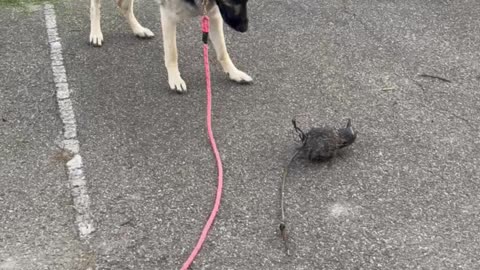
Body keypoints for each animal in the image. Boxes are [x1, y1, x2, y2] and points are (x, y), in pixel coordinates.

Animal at [89, 0, 251, 92]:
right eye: (231, 2)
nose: (245, 28)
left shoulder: (213, 15)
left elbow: (222, 51)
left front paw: (234, 73)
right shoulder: (168, 17)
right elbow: (172, 53)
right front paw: (175, 79)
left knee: (123, 6)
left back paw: (138, 29)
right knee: (95, 6)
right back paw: (96, 32)